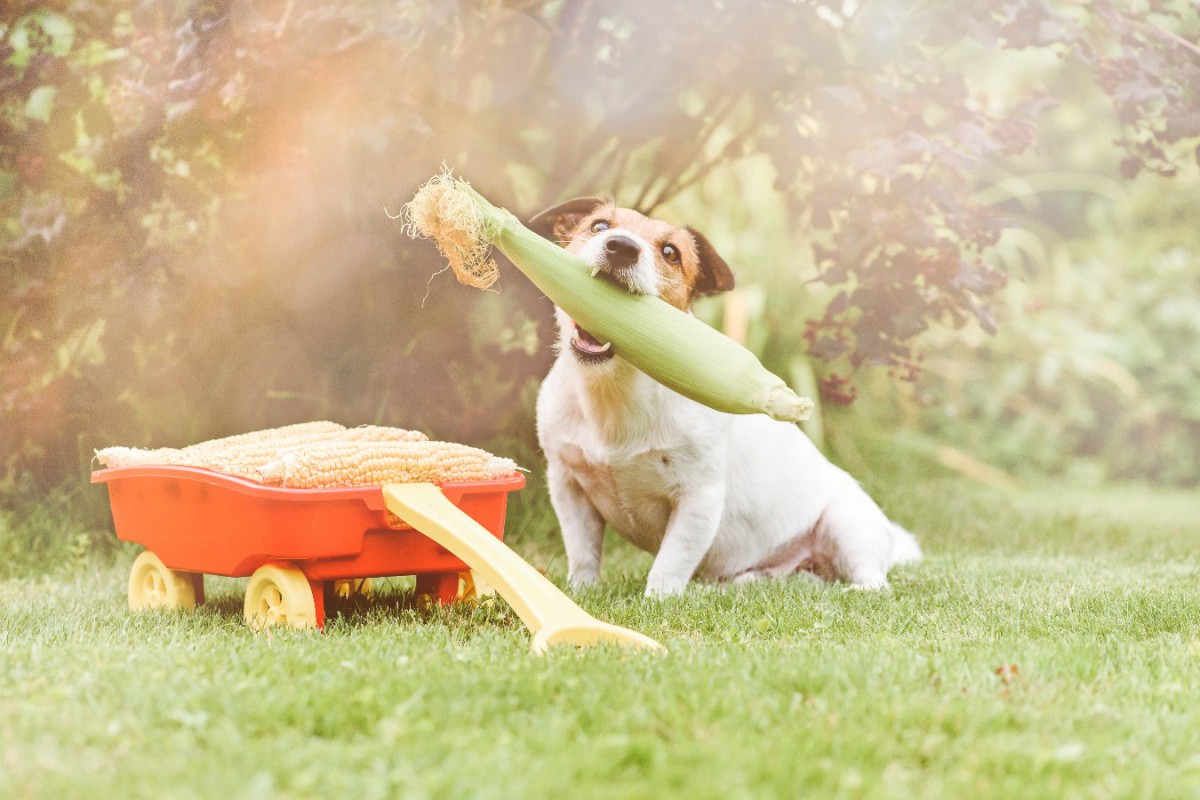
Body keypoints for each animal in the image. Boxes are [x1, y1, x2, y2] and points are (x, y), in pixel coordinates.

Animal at [528, 196, 916, 597]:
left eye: (670, 253)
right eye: (600, 227)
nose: (621, 247)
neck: (615, 388)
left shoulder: (700, 497)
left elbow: (670, 564)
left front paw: (657, 600)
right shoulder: (568, 486)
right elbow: (583, 552)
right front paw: (579, 592)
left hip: (847, 524)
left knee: (872, 578)